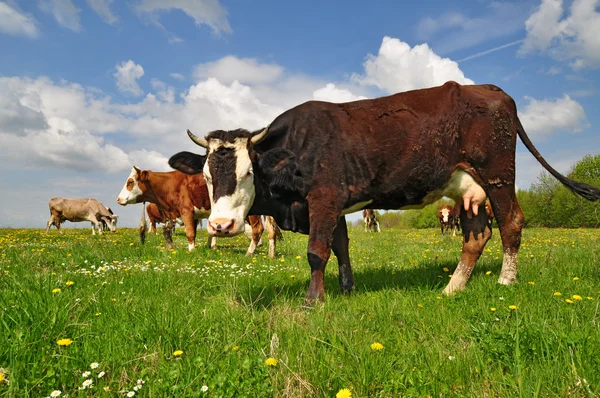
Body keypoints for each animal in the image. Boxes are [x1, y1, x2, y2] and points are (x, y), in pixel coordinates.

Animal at [169, 82, 600, 304]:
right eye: (206, 176)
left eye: (247, 173)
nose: (221, 226)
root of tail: (487, 88)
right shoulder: (336, 205)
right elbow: (341, 246)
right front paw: (346, 288)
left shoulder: (324, 197)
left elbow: (317, 252)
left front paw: (313, 300)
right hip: (469, 188)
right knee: (477, 234)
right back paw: (452, 287)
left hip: (497, 176)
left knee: (511, 223)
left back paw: (506, 281)